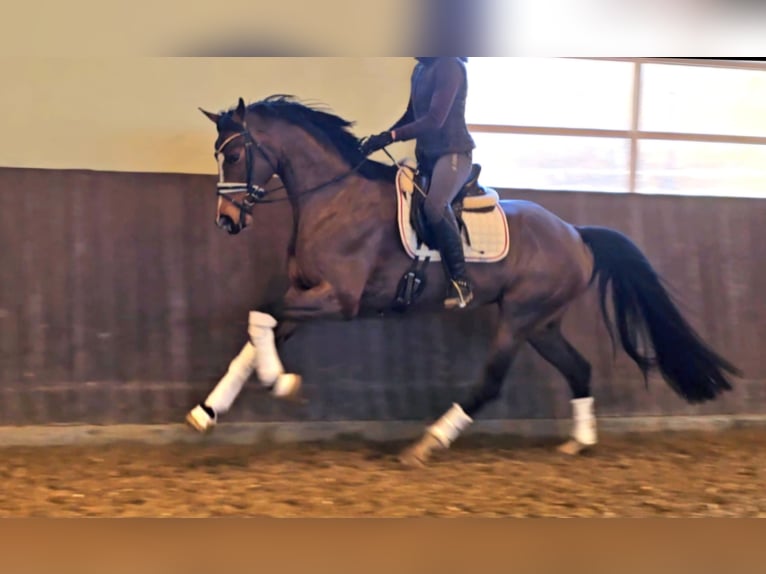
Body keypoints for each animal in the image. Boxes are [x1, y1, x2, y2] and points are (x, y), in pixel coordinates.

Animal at [187, 95, 740, 467]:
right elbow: (257, 331)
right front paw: (207, 411)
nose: (226, 222)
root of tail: (575, 234)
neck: (333, 198)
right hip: (542, 323)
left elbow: (259, 316)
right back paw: (578, 442)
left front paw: (282, 382)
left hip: (519, 318)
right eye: (216, 154)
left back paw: (427, 442)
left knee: (491, 381)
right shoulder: (305, 294)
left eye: (233, 155)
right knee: (579, 369)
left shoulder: (337, 300)